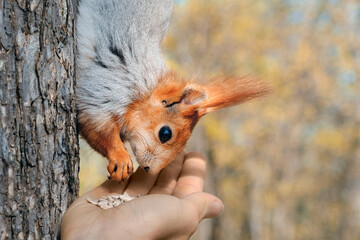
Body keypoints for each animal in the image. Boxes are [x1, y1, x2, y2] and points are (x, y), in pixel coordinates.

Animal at [76, 0, 268, 182]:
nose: (149, 170)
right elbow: (96, 126)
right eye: (165, 133)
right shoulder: (107, 88)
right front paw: (120, 159)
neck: (147, 89)